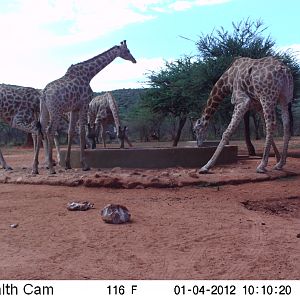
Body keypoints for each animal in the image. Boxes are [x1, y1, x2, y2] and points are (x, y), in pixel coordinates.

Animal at [34, 41, 136, 175]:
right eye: (128, 50)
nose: (134, 60)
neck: (89, 74)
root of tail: (44, 93)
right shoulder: (84, 105)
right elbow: (82, 132)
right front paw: (85, 165)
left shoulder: (74, 108)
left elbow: (71, 132)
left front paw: (68, 164)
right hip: (55, 111)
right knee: (49, 131)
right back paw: (51, 168)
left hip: (44, 110)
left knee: (39, 131)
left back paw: (35, 168)